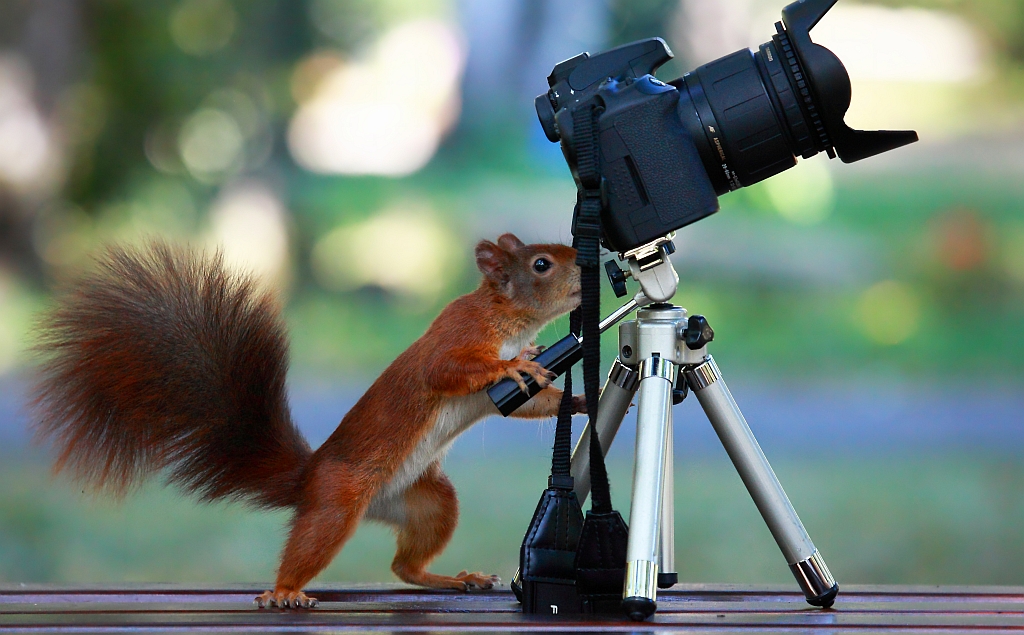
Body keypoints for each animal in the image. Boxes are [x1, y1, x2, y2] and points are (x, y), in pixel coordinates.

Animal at [32, 233, 585, 610]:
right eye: (542, 264)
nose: (587, 268)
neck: (505, 318)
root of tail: (308, 477)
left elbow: (529, 400)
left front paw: (574, 397)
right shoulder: (457, 334)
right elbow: (448, 370)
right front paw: (511, 365)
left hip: (429, 501)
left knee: (404, 566)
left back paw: (455, 578)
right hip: (337, 504)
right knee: (319, 546)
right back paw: (283, 591)